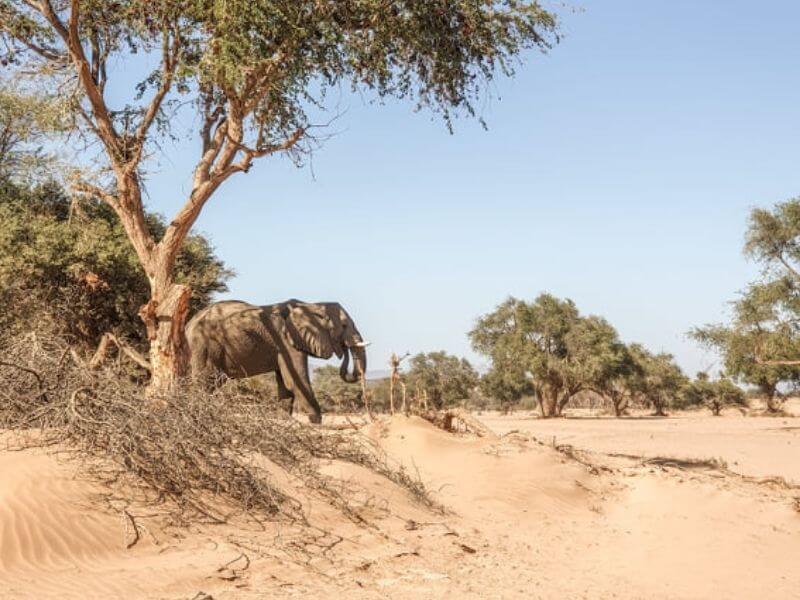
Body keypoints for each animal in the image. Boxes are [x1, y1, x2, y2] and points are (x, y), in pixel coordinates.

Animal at [185, 298, 368, 422]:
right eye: (344, 326)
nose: (344, 349)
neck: (311, 304)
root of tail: (189, 324)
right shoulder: (287, 340)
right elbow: (296, 380)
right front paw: (315, 421)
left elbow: (285, 384)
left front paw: (284, 418)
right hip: (204, 345)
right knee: (204, 382)